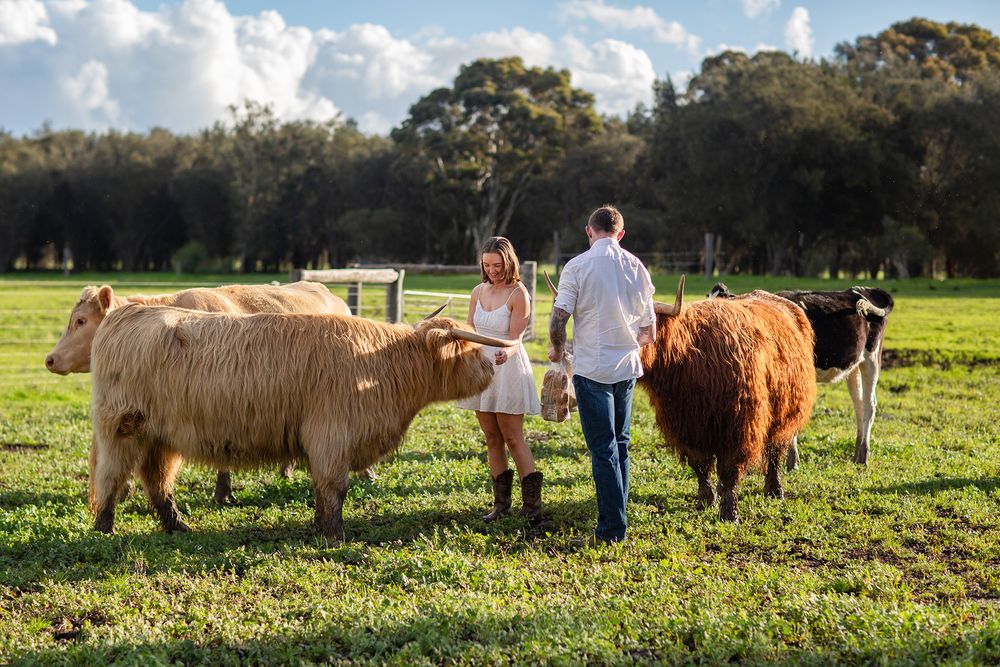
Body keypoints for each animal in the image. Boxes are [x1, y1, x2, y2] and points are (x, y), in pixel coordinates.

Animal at [88, 306, 513, 542]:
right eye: (470, 346)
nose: (493, 367)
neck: (384, 366)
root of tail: (126, 312)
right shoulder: (332, 435)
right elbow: (333, 489)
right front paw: (334, 535)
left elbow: (324, 492)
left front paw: (320, 527)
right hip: (122, 428)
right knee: (111, 478)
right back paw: (105, 528)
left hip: (160, 437)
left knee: (156, 481)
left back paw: (178, 526)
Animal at [546, 273, 816, 522]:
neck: (689, 359)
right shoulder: (685, 425)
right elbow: (700, 466)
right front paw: (706, 499)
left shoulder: (740, 424)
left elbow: (730, 469)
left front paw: (729, 512)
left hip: (787, 412)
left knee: (776, 451)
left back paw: (775, 489)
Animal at [708, 282, 893, 467]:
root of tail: (866, 289)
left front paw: (791, 462)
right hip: (853, 366)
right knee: (859, 405)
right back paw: (856, 454)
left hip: (872, 359)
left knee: (869, 405)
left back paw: (863, 456)